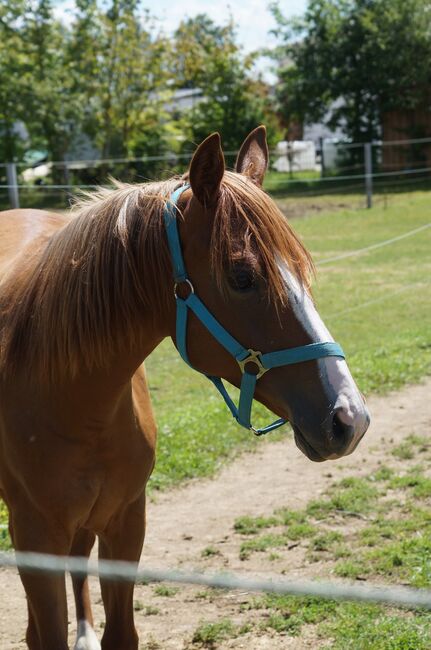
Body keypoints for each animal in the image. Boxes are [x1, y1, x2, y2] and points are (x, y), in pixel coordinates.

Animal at [0, 128, 372, 648]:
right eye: (242, 277)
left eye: (302, 267)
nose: (349, 419)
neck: (76, 402)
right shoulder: (35, 537)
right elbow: (43, 633)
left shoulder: (126, 520)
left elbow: (121, 632)